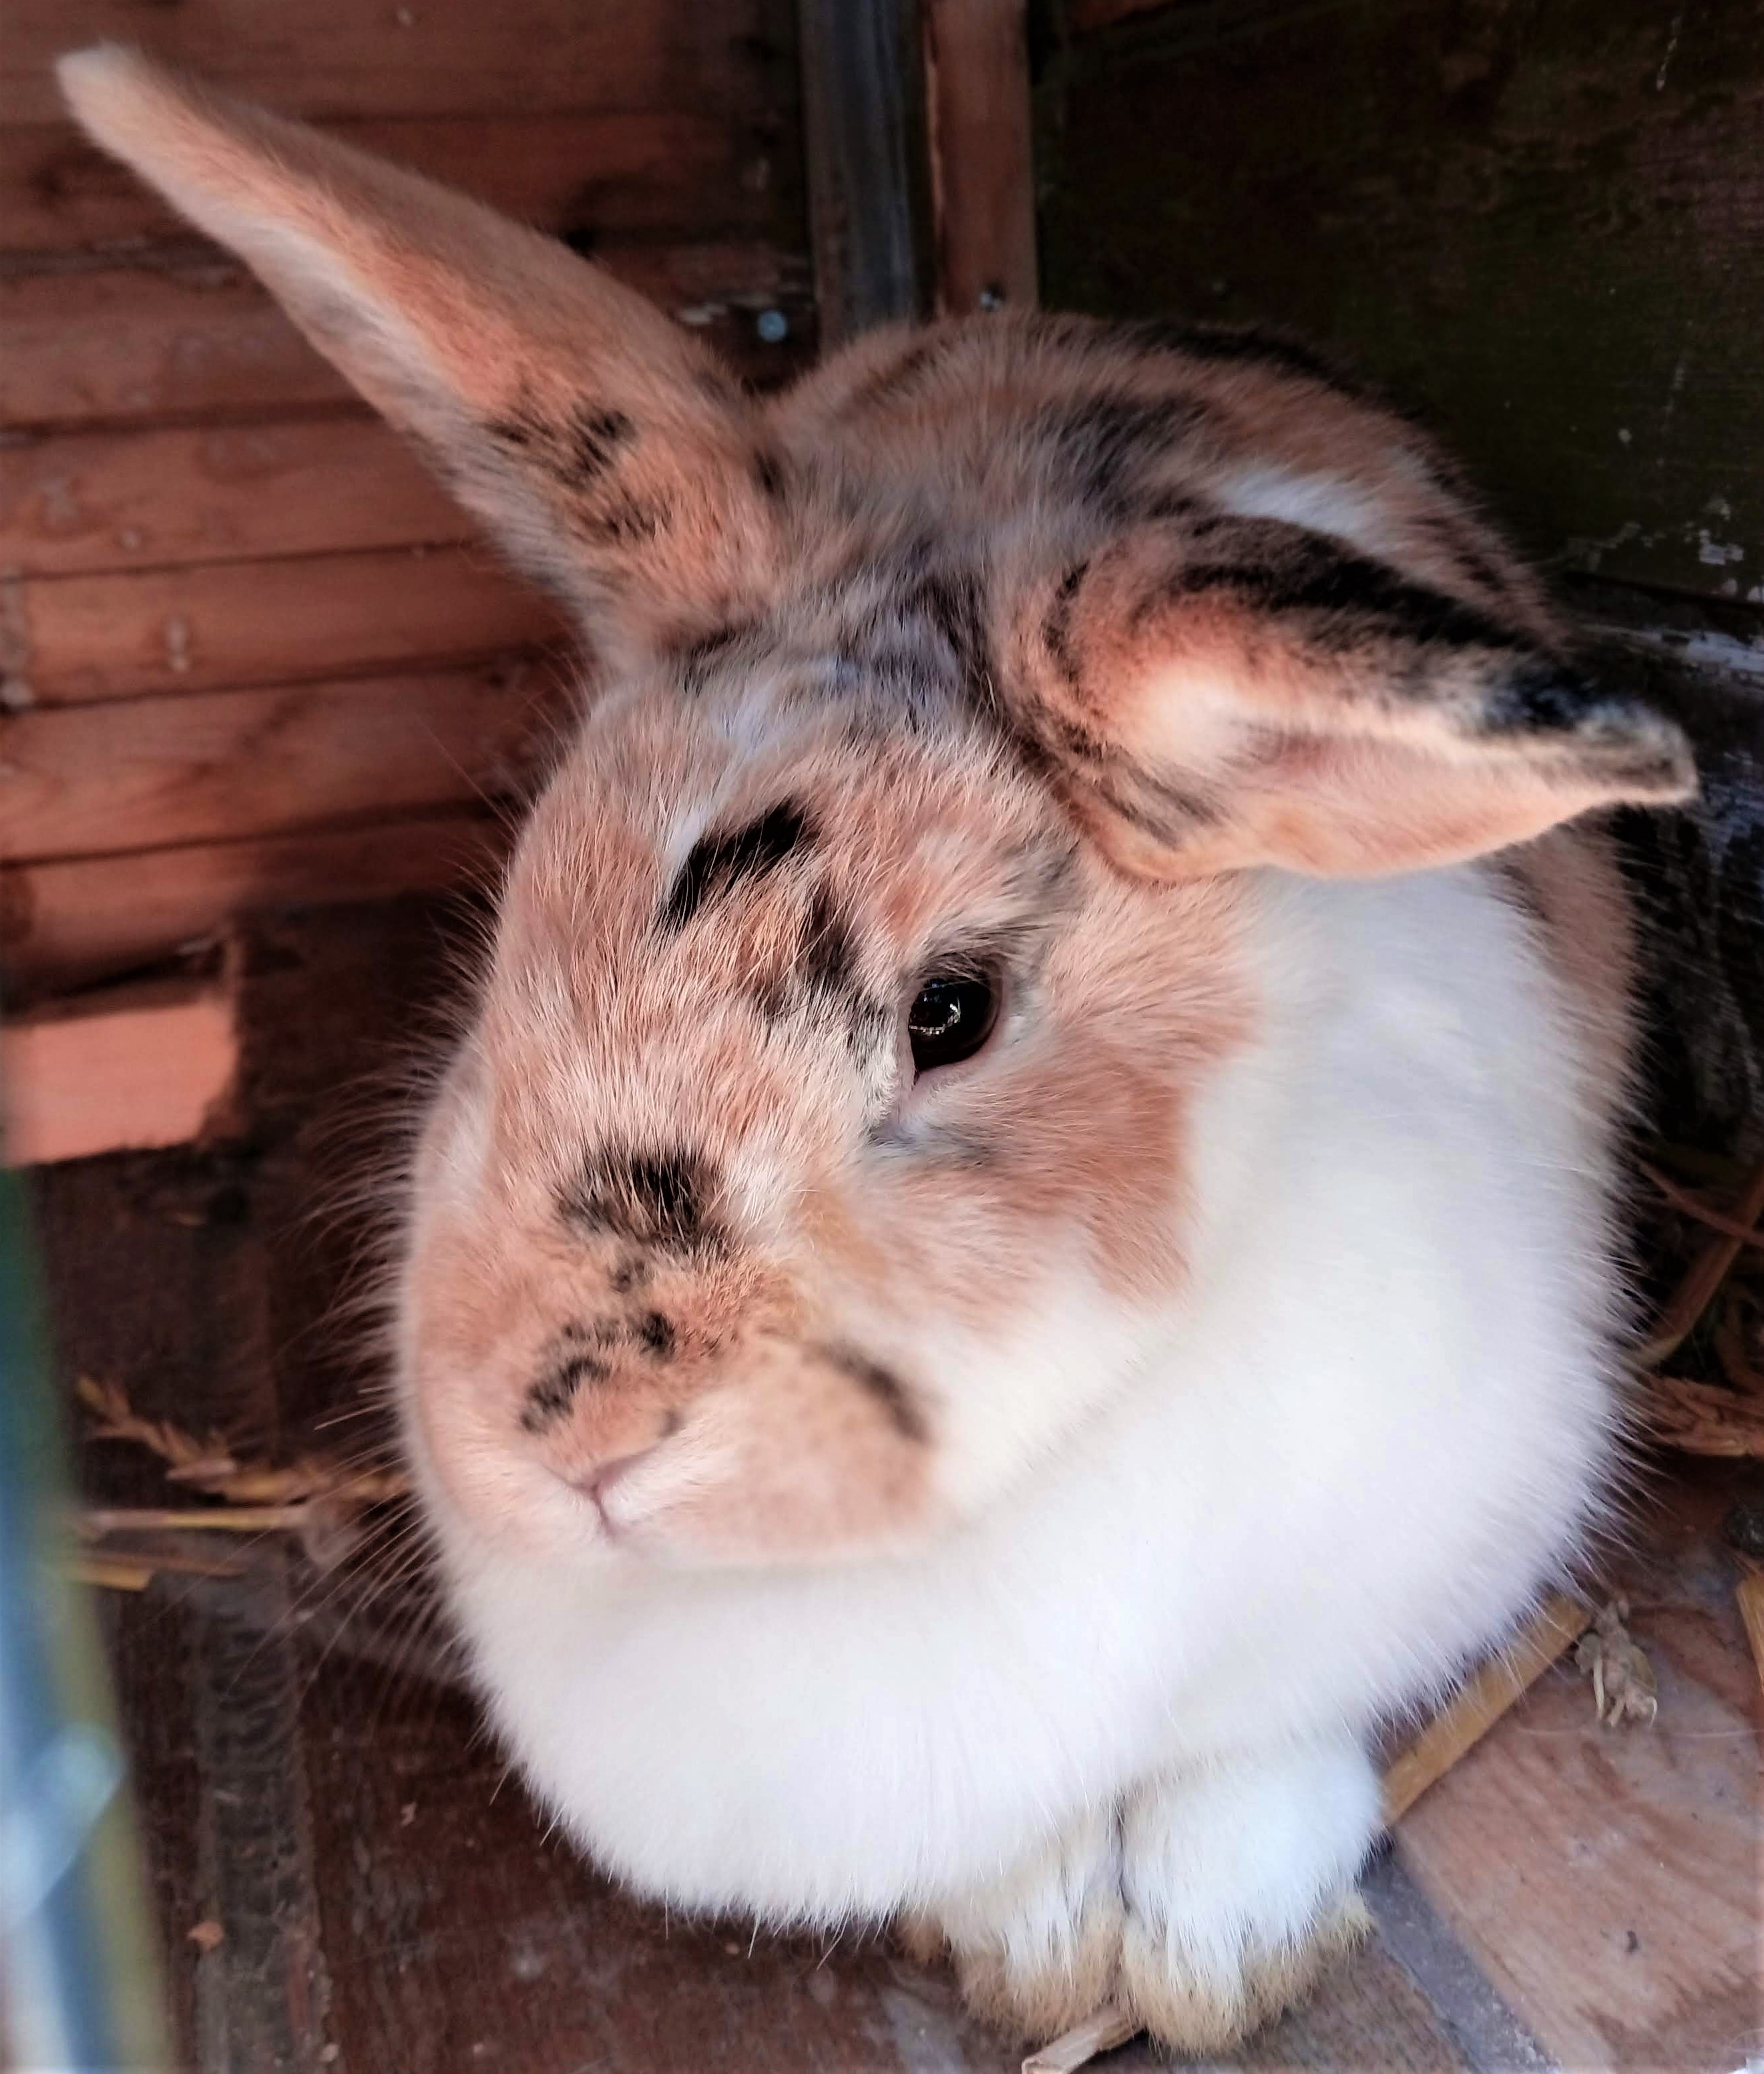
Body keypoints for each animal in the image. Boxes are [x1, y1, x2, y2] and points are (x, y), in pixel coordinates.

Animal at [61, 45, 1695, 2054]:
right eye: (520, 916)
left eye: (951, 1013)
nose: (572, 1445)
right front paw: (1034, 1937)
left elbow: (1257, 1757)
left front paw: (1213, 1948)